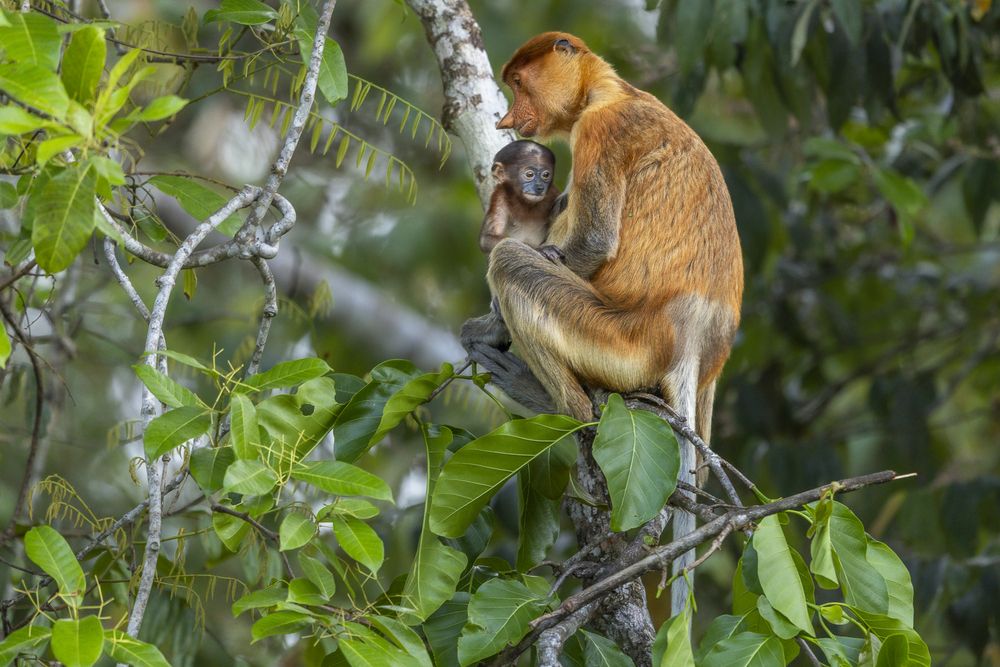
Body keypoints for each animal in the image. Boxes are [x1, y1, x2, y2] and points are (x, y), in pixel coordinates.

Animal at [461, 32, 743, 617]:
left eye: (518, 82)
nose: (509, 117)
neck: (609, 89)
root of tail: (689, 338)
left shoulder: (601, 130)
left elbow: (591, 241)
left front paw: (491, 323)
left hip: (619, 340)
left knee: (514, 264)